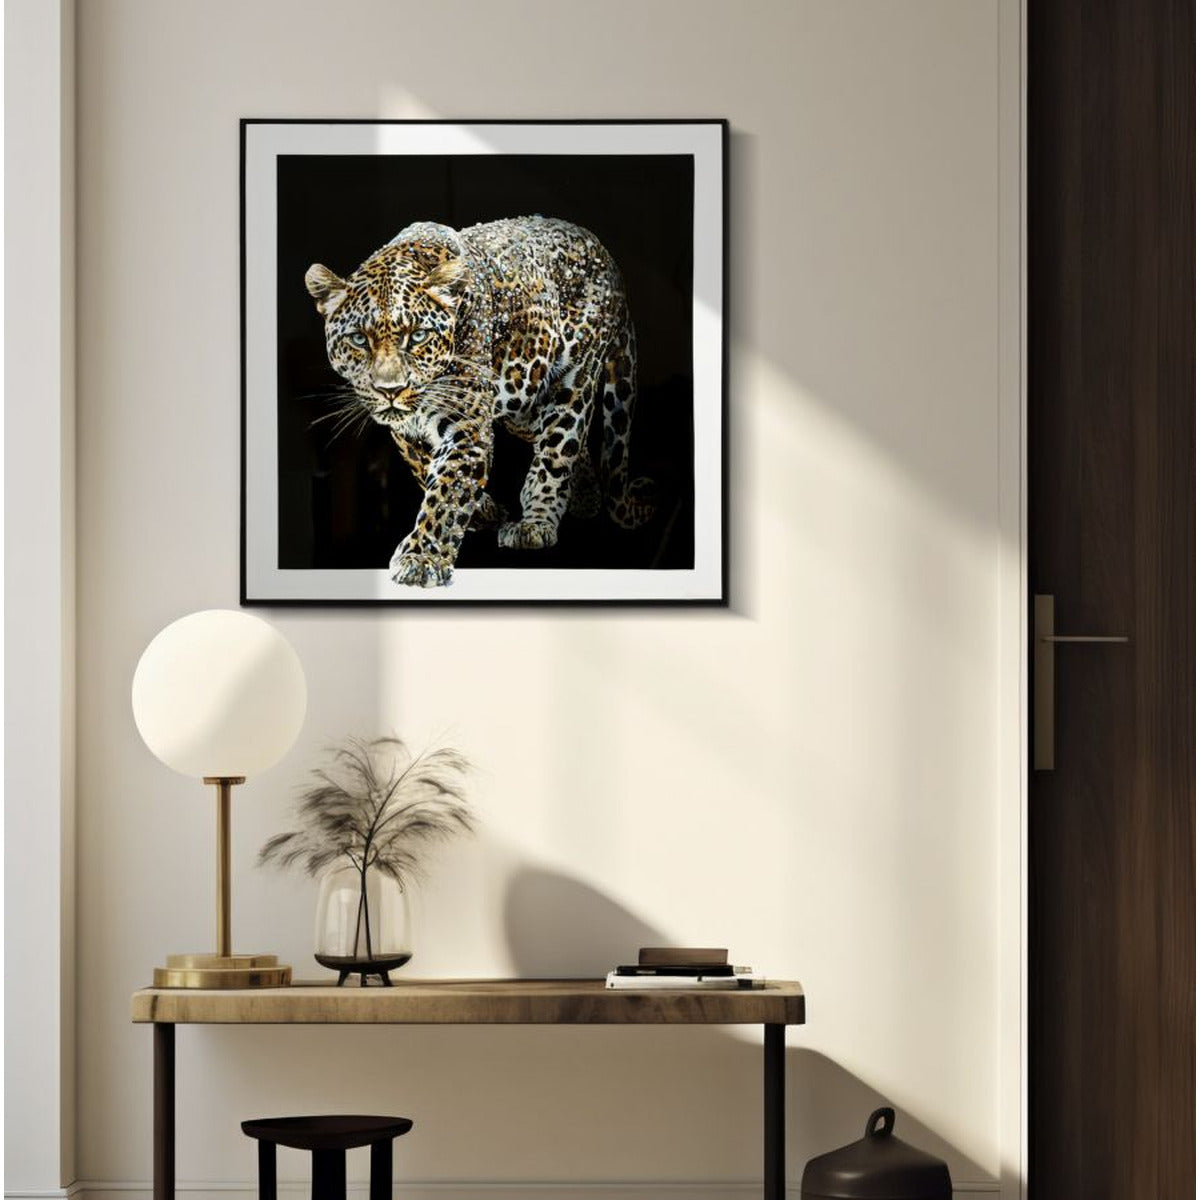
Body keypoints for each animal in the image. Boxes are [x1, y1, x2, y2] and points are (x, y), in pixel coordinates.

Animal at [305, 215, 654, 588]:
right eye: (359, 339)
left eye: (418, 336)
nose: (391, 390)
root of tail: (606, 255)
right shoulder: (407, 432)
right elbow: (426, 467)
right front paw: (482, 510)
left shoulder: (467, 426)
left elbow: (446, 490)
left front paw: (421, 558)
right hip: (522, 398)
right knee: (571, 443)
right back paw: (585, 498)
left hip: (573, 378)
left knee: (559, 448)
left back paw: (536, 522)